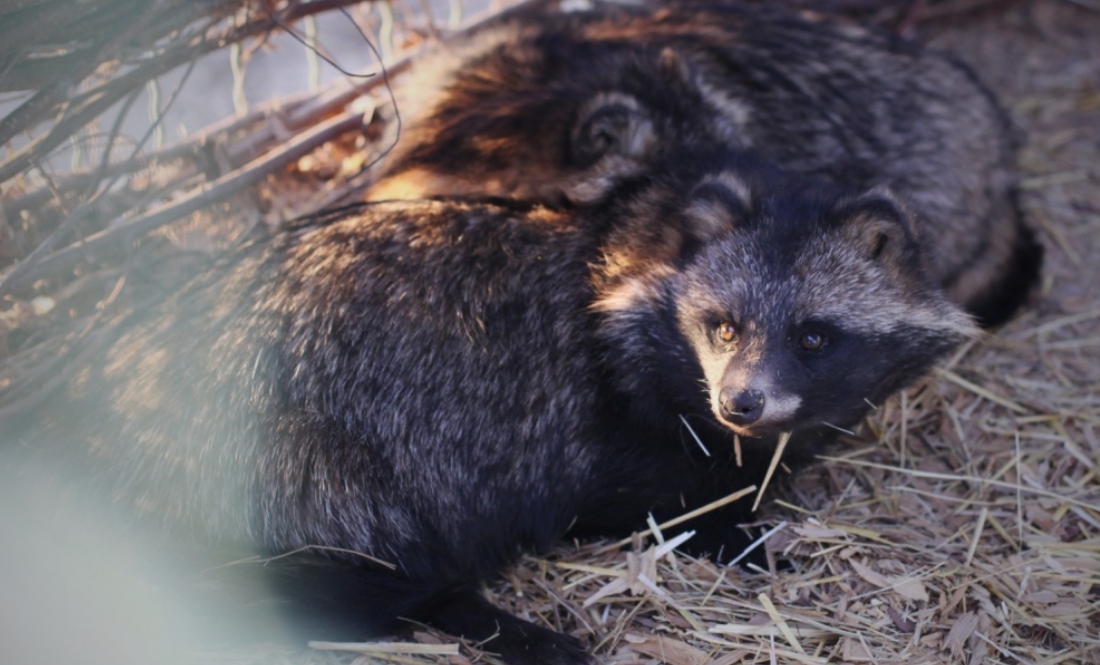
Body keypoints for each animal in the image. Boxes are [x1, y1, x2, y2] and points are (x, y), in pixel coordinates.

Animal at [4, 151, 976, 663]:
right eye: (723, 324)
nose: (742, 401)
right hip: (280, 438)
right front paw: (738, 524)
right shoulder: (596, 420)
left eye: (813, 334)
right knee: (362, 538)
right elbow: (647, 494)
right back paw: (479, 612)